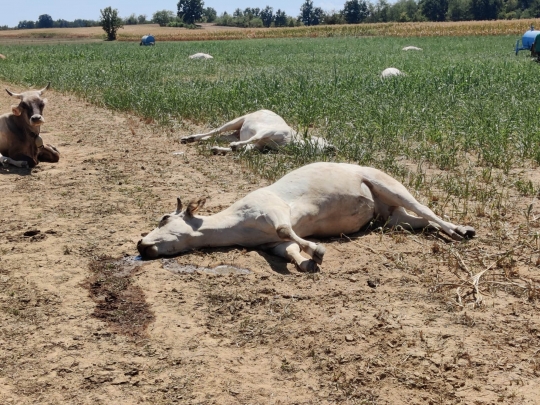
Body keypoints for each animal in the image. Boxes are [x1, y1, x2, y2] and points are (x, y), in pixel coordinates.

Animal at [137, 160, 474, 268]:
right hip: (391, 217)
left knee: (427, 210)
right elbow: (287, 249)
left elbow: (287, 231)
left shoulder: (274, 211)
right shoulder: (269, 244)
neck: (236, 223)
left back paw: (462, 230)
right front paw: (304, 262)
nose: (141, 245)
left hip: (388, 185)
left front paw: (318, 251)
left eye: (165, 218)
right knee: (420, 221)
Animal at [180, 108, 334, 154]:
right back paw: (189, 138)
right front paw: (233, 147)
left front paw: (219, 149)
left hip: (235, 134)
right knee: (215, 131)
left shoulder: (259, 146)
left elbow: (246, 148)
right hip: (236, 121)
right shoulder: (267, 132)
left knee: (218, 137)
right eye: (320, 140)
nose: (333, 148)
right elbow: (254, 138)